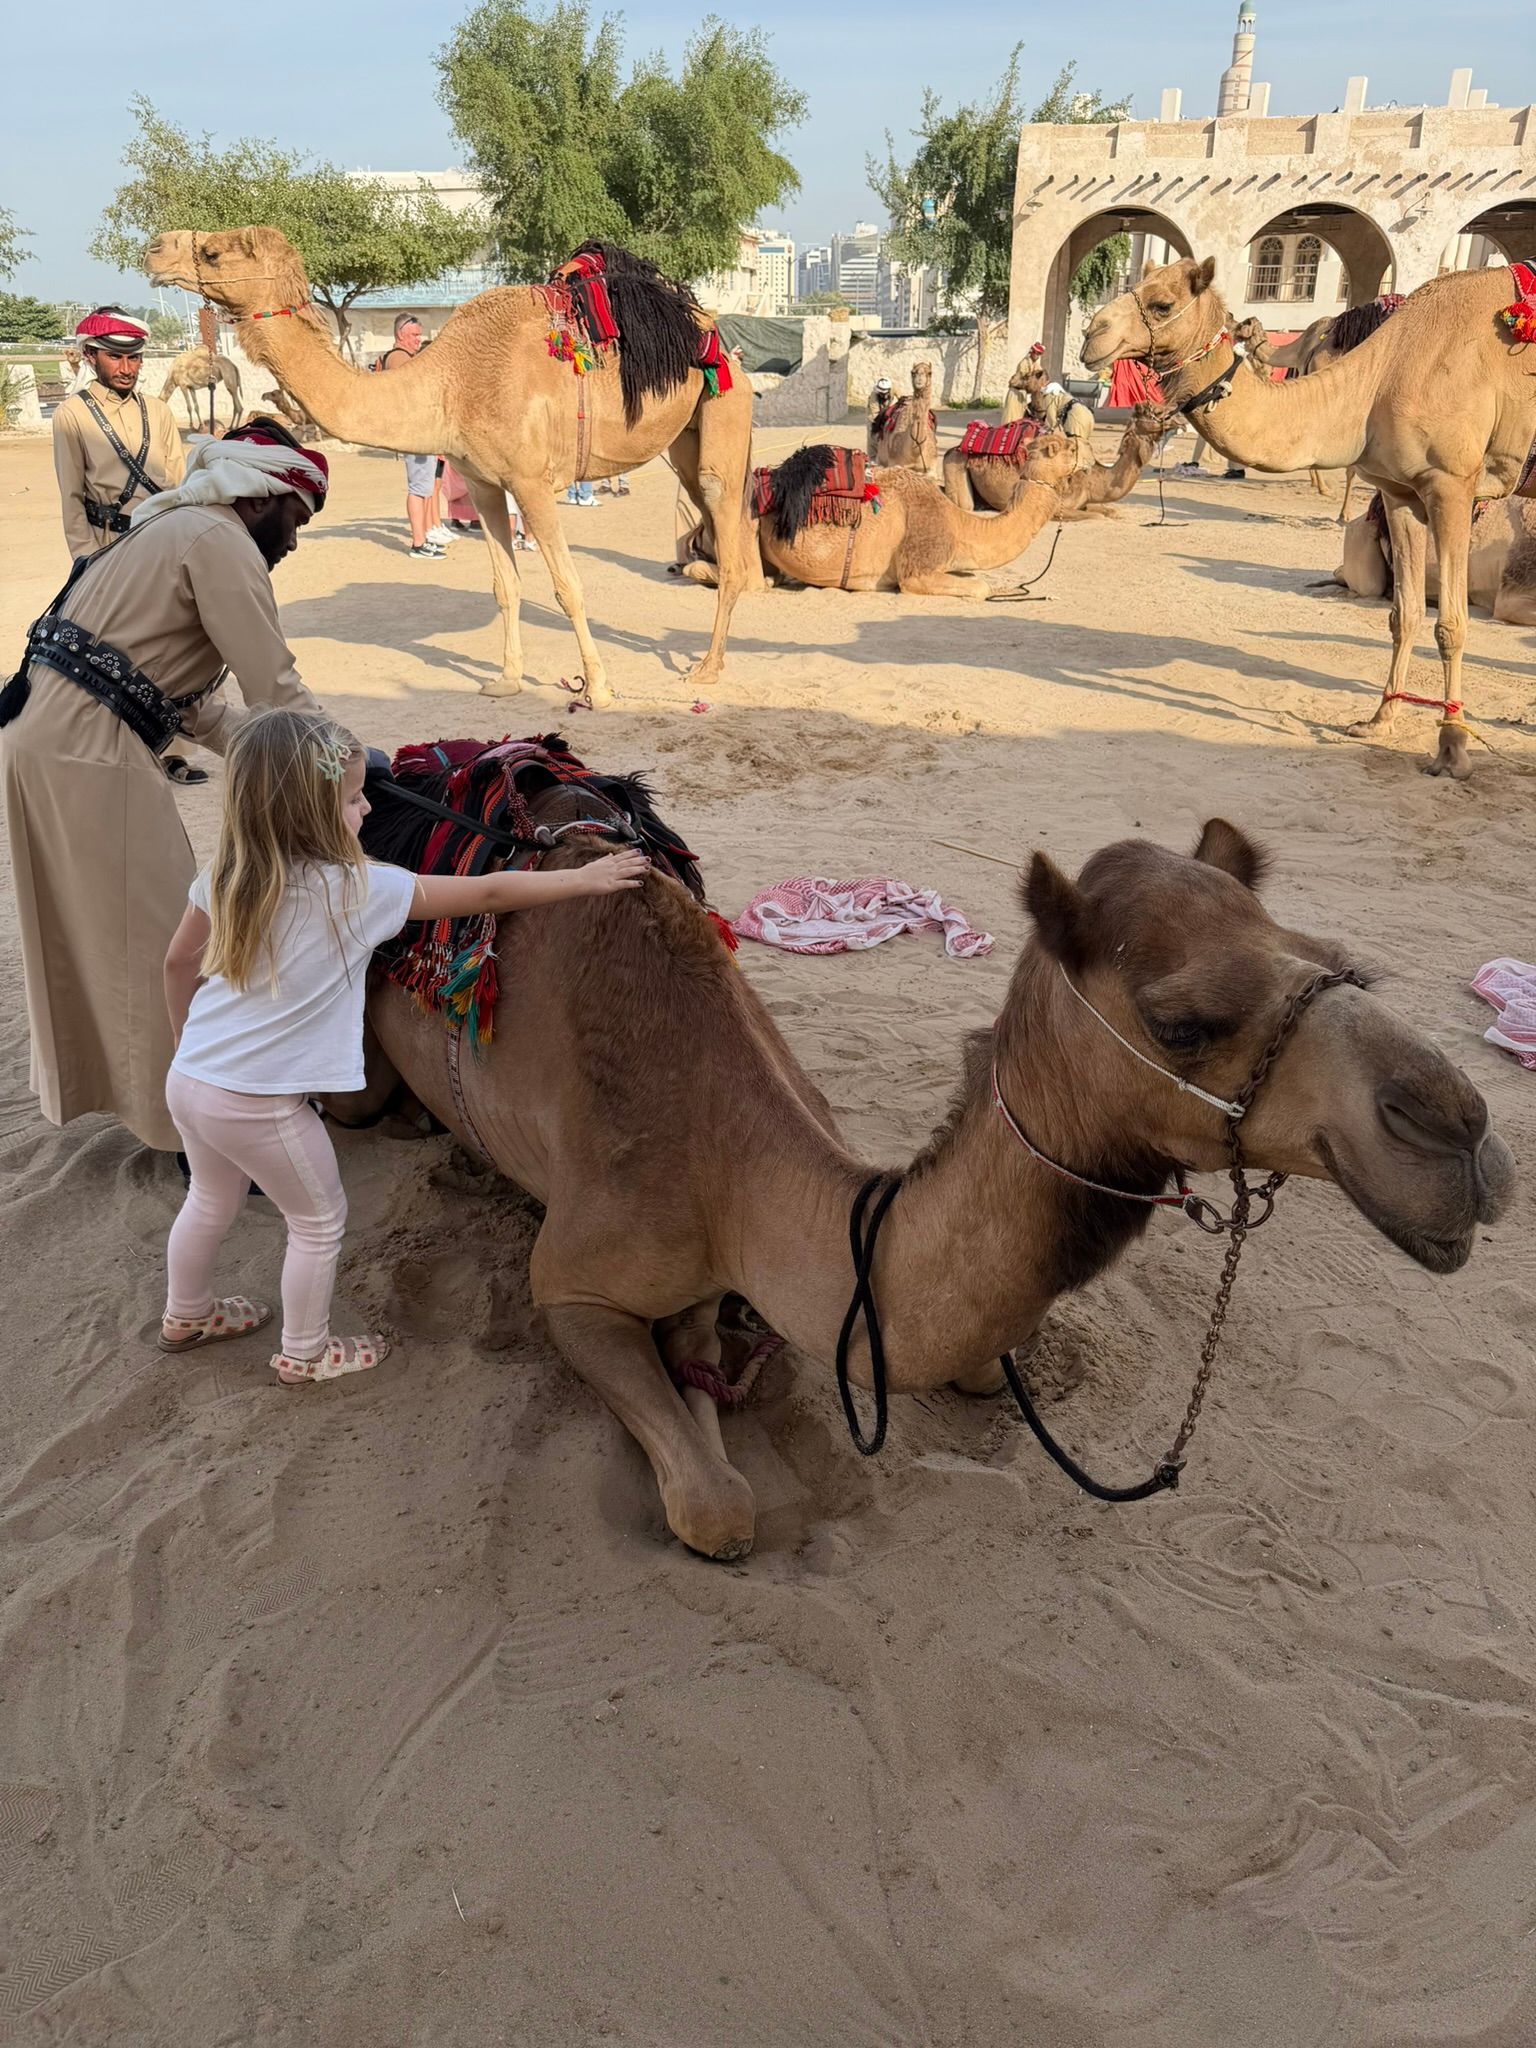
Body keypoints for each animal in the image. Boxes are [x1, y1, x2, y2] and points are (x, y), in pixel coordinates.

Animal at [145, 227, 758, 709]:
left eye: (213, 253)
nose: (154, 249)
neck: (451, 383)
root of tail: (717, 334)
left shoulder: (531, 482)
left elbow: (567, 586)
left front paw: (600, 691)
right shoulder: (486, 483)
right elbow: (505, 585)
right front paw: (507, 681)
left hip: (724, 404)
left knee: (721, 512)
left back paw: (707, 668)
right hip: (683, 438)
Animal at [328, 800, 1513, 1560]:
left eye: (1340, 960)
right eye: (1183, 1022)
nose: (1462, 1132)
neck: (733, 1168)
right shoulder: (572, 1280)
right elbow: (717, 1507)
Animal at [944, 407, 1167, 519]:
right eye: (1151, 415)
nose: (1170, 418)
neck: (1091, 480)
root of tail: (953, 449)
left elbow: (1109, 511)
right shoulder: (1058, 506)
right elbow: (1097, 517)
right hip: (956, 464)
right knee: (964, 504)